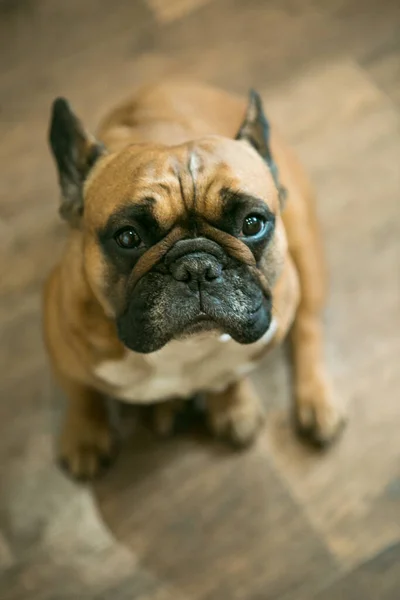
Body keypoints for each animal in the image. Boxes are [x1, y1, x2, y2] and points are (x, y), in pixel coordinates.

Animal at [43, 82, 344, 480]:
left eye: (252, 223)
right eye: (128, 238)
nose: (197, 266)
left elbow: (232, 374)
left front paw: (232, 404)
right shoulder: (60, 342)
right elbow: (81, 393)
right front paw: (85, 435)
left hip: (305, 250)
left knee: (309, 326)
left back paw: (317, 400)